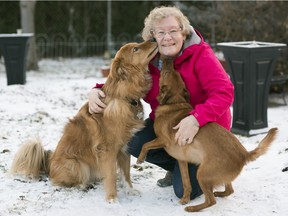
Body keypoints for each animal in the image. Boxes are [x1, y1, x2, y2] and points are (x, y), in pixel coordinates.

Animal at [10, 40, 158, 202]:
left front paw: (130, 190)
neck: (123, 97)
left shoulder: (125, 146)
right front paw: (112, 199)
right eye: (135, 49)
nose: (153, 40)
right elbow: (111, 176)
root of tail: (48, 164)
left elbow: (126, 173)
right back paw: (82, 185)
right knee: (59, 182)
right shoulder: (108, 151)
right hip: (78, 165)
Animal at [136, 57, 278, 211]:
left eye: (167, 72)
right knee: (229, 190)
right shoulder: (182, 161)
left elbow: (145, 144)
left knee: (211, 201)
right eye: (176, 73)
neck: (175, 102)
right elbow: (186, 183)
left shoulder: (163, 140)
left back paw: (193, 208)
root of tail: (244, 154)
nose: (169, 59)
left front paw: (140, 159)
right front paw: (185, 199)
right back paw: (218, 194)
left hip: (202, 174)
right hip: (216, 176)